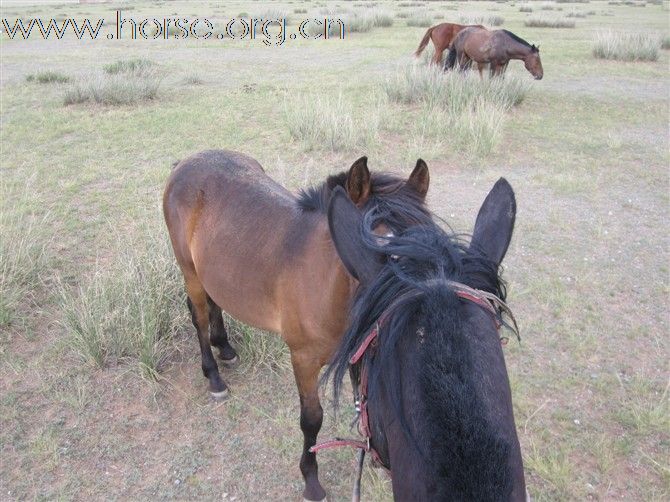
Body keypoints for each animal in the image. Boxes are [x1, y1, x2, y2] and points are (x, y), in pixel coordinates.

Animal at [165, 150, 434, 502]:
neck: (326, 285)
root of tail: (186, 163)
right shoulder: (303, 359)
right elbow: (312, 419)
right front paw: (311, 480)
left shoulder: (358, 350)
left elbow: (365, 403)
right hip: (190, 271)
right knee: (197, 315)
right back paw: (214, 377)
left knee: (215, 303)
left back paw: (224, 347)